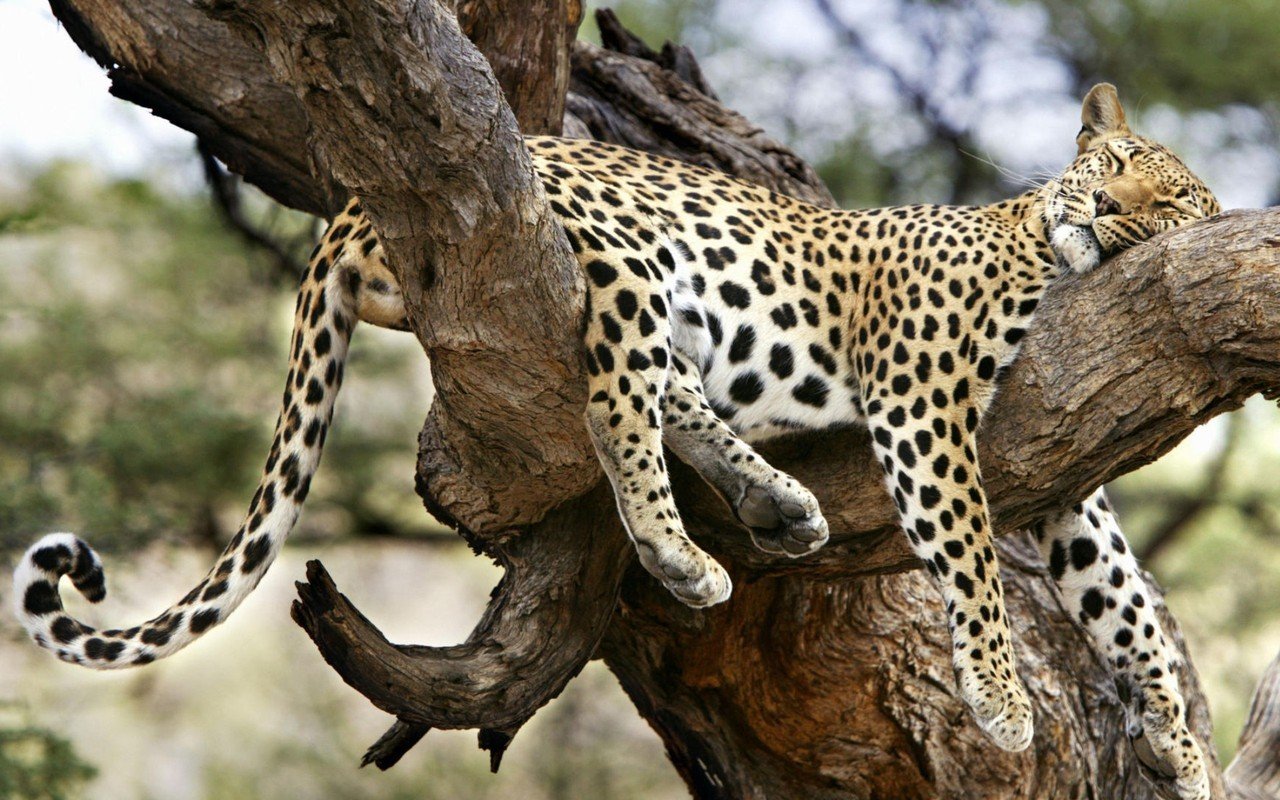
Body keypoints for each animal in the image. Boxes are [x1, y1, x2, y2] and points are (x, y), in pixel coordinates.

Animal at [14, 83, 1217, 799]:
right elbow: (969, 555)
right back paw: (682, 552)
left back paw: (776, 503)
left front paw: (1186, 750)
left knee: (668, 391)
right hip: (629, 257)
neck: (1043, 251)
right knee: (614, 403)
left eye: (1172, 201)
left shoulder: (1065, 476)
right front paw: (1003, 699)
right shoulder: (921, 401)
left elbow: (1125, 602)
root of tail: (351, 205)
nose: (1108, 214)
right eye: (1110, 165)